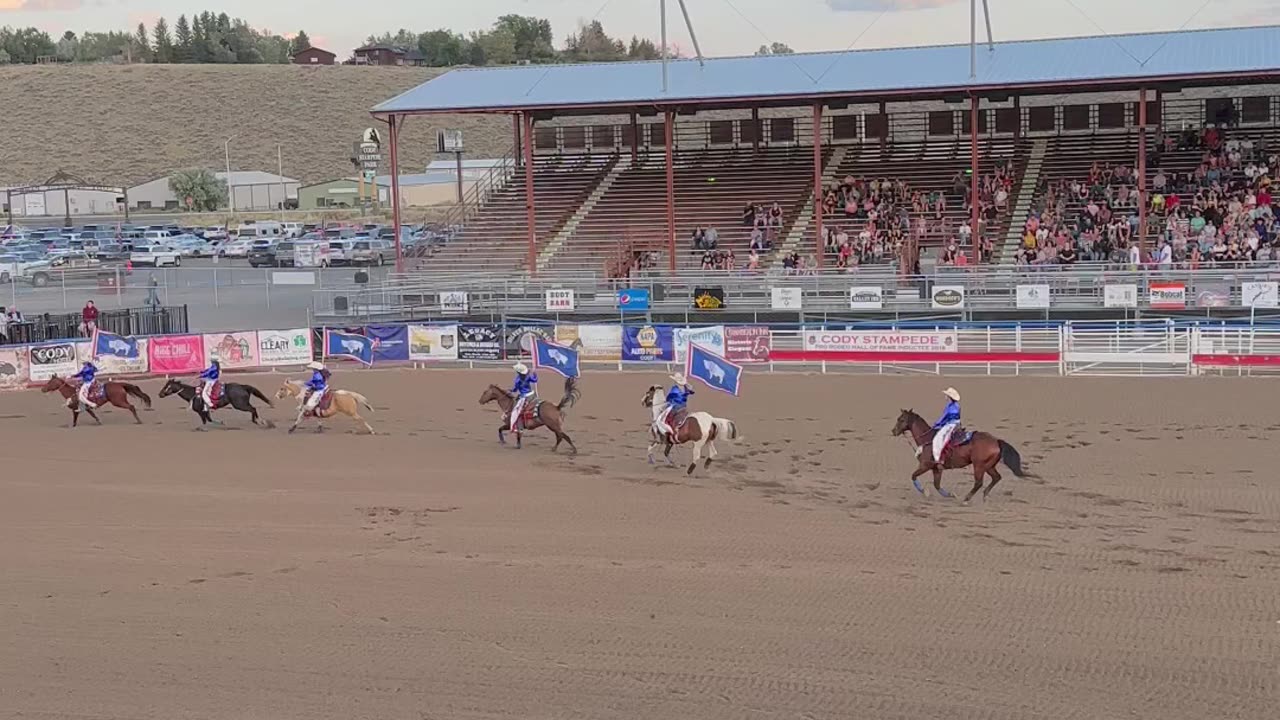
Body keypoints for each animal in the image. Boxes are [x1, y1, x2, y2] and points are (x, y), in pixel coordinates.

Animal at [896, 407, 1034, 502]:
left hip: (979, 466)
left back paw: (966, 499)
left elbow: (913, 476)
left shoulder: (925, 465)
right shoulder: (937, 469)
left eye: (901, 419)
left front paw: (925, 492)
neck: (928, 439)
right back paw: (984, 496)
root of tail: (996, 441)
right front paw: (951, 495)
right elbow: (937, 485)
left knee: (979, 482)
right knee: (996, 477)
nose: (893, 431)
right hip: (989, 466)